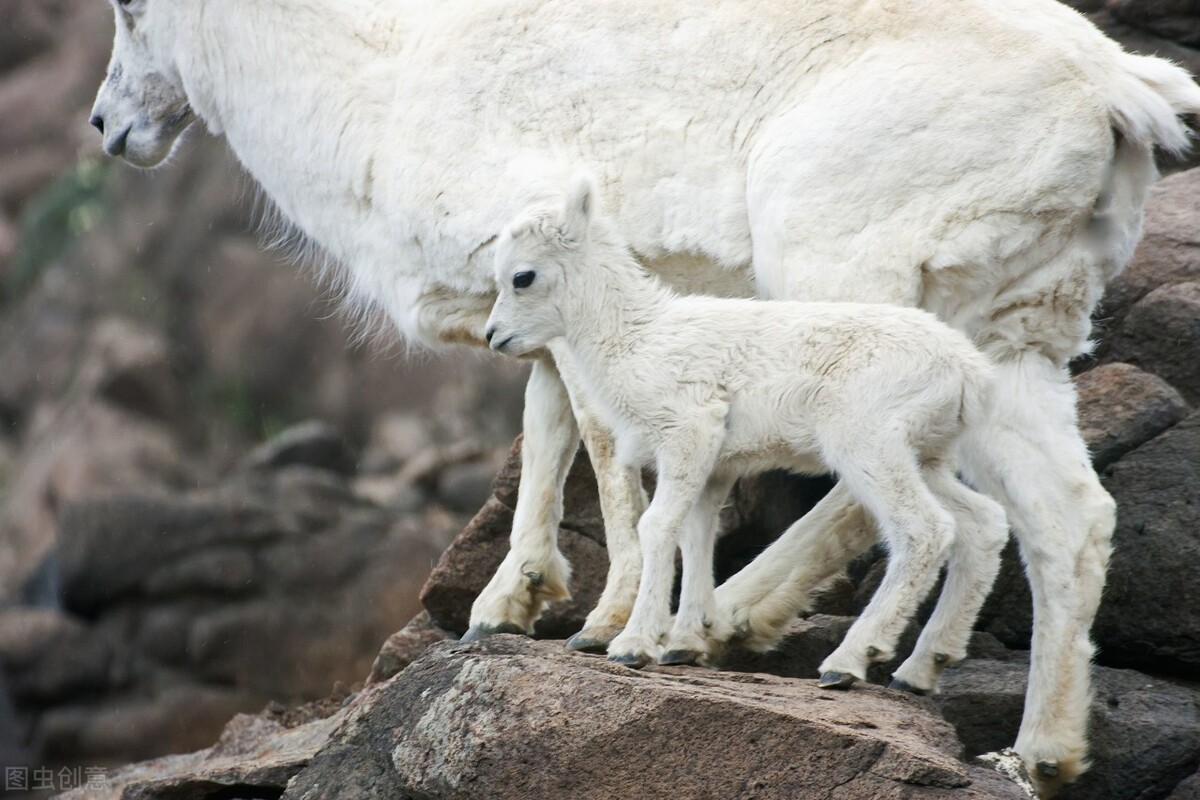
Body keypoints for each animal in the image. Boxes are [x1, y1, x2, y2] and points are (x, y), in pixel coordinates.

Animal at [487, 176, 1012, 695]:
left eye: (522, 277)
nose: (494, 337)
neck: (635, 338)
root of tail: (970, 373)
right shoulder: (715, 468)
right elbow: (696, 537)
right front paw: (684, 645)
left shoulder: (688, 438)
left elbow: (656, 527)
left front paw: (633, 646)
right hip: (925, 457)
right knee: (983, 523)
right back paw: (921, 669)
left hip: (867, 448)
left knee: (924, 531)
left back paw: (848, 662)